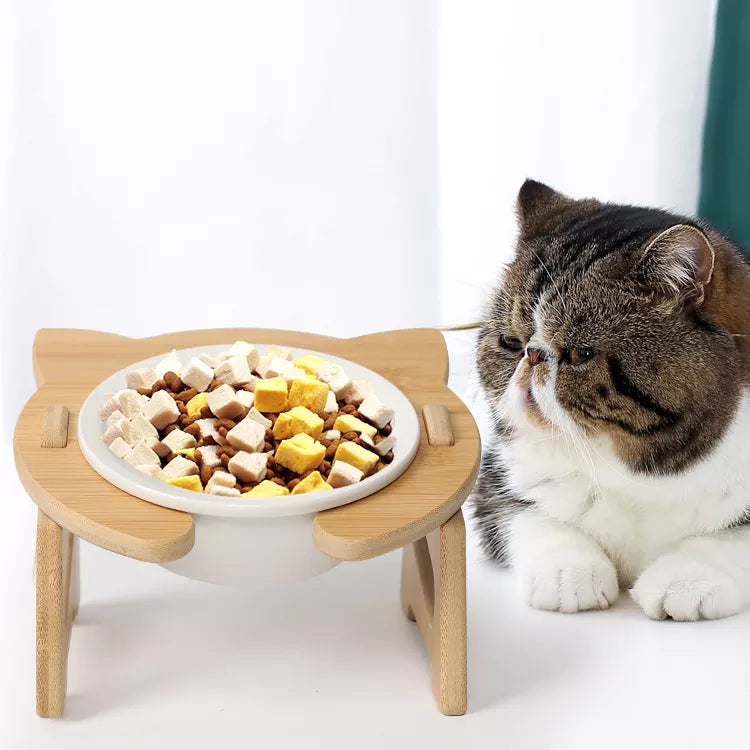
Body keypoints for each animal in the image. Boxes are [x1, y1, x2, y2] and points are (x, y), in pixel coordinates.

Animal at [472, 181, 750, 624]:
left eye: (581, 354)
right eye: (511, 343)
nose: (532, 355)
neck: (635, 472)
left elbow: (730, 538)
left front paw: (688, 577)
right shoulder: (494, 485)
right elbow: (530, 515)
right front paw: (569, 572)